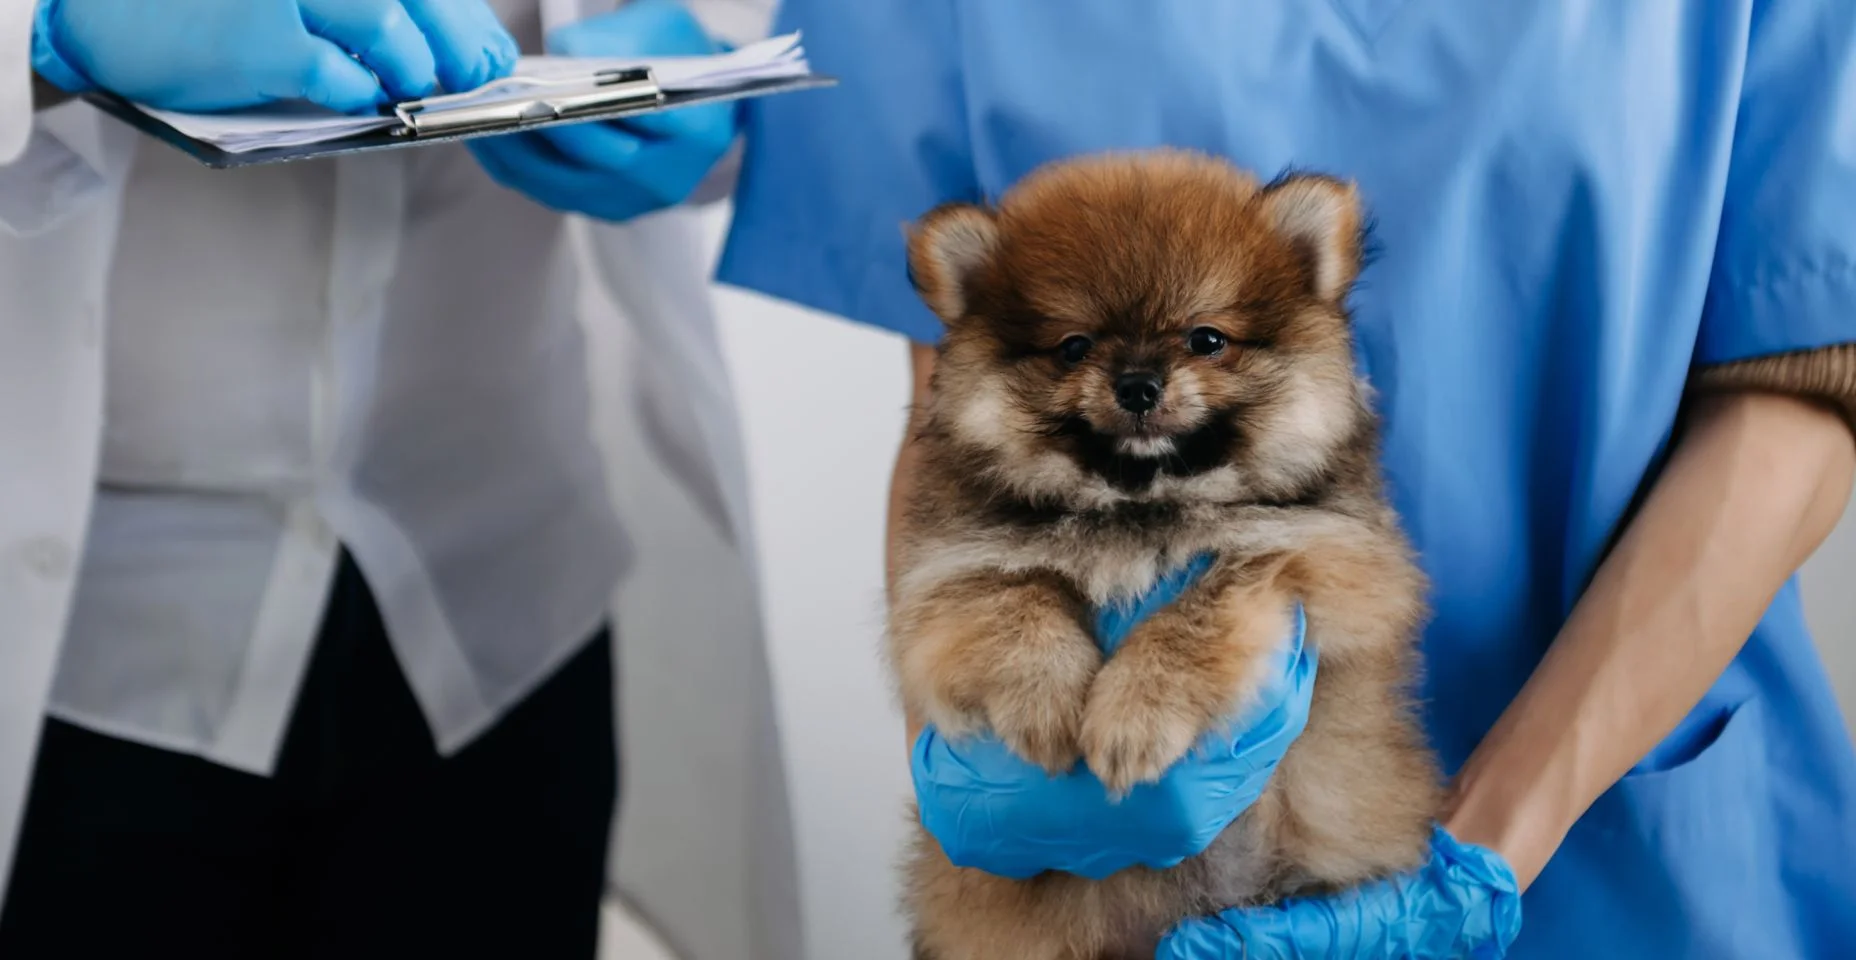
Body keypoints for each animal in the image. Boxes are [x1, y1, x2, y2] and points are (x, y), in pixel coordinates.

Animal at [890, 149, 1440, 958]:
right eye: (1075, 346)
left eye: (1205, 339)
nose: (1139, 384)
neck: (1141, 506)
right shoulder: (950, 571)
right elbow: (1016, 598)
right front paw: (1049, 703)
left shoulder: (1319, 551)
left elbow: (1197, 609)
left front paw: (1134, 716)